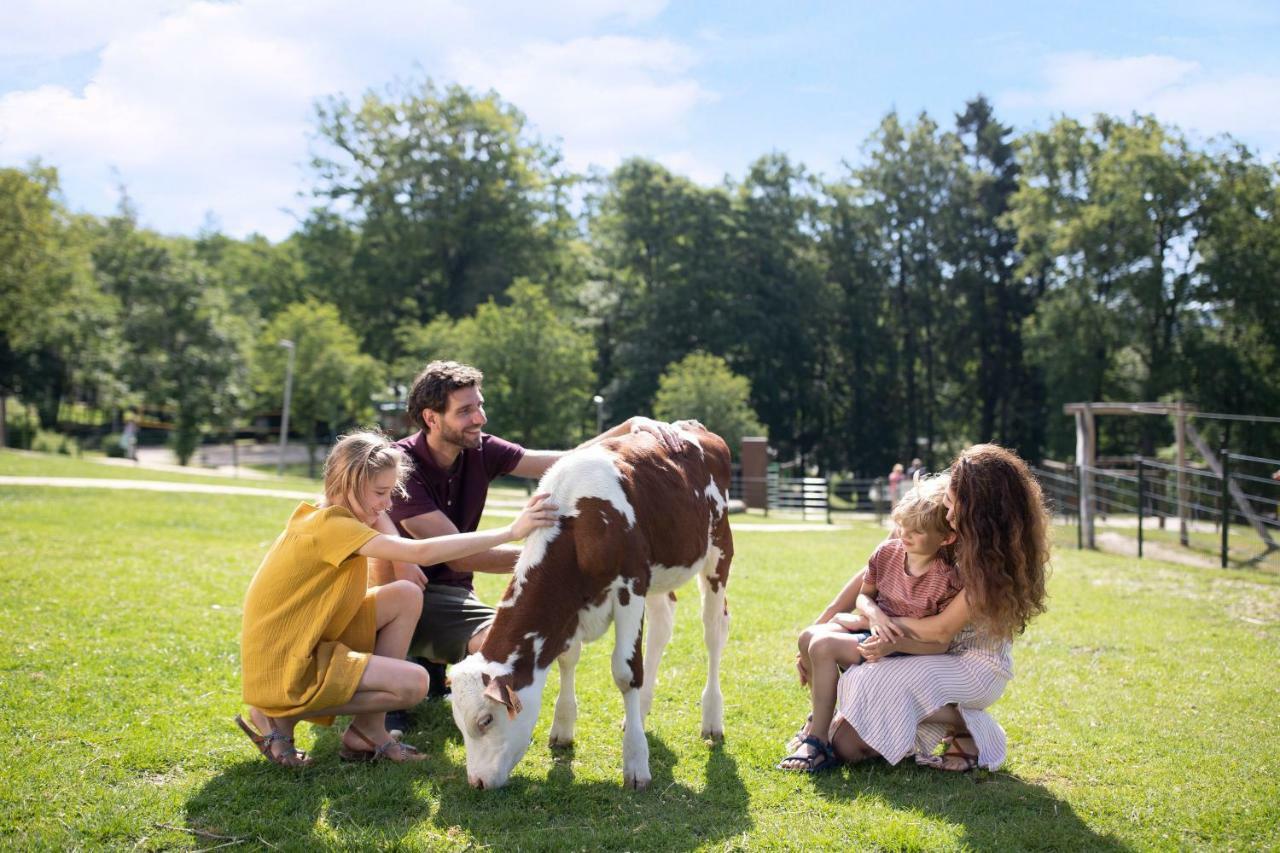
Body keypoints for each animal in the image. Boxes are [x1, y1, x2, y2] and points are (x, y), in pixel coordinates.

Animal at [450, 422, 737, 788]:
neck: (577, 521)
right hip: (659, 573)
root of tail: (691, 426)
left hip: (719, 551)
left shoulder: (631, 586)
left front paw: (636, 762)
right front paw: (563, 727)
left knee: (713, 631)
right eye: (459, 724)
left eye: (485, 720)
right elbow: (567, 658)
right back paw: (641, 711)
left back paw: (712, 719)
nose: (477, 782)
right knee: (662, 626)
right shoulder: (572, 607)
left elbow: (626, 672)